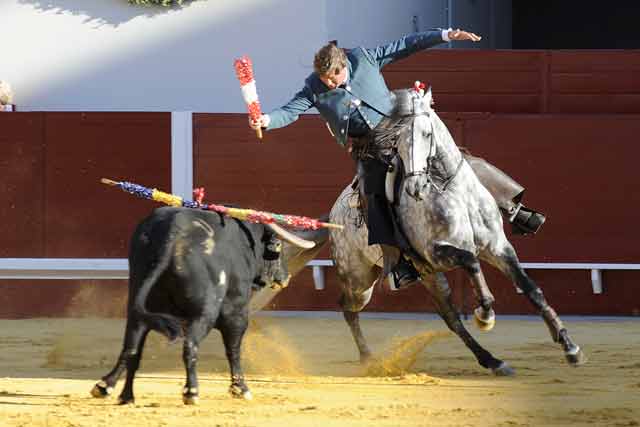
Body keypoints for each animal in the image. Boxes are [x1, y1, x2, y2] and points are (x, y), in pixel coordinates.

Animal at [91, 207, 324, 404]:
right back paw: (191, 392)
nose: (285, 277)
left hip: (136, 307)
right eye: (279, 247)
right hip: (204, 313)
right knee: (190, 345)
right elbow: (233, 349)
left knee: (131, 348)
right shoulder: (237, 312)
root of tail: (173, 237)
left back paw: (119, 393)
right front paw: (241, 389)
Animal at [330, 89, 584, 374]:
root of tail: (334, 210)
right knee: (348, 308)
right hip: (360, 279)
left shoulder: (498, 247)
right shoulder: (437, 252)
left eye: (426, 134)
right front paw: (485, 314)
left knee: (451, 319)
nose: (415, 187)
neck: (454, 190)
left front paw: (570, 347)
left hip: (428, 276)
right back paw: (368, 357)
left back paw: (493, 360)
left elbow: (532, 289)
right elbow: (471, 261)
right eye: (397, 142)